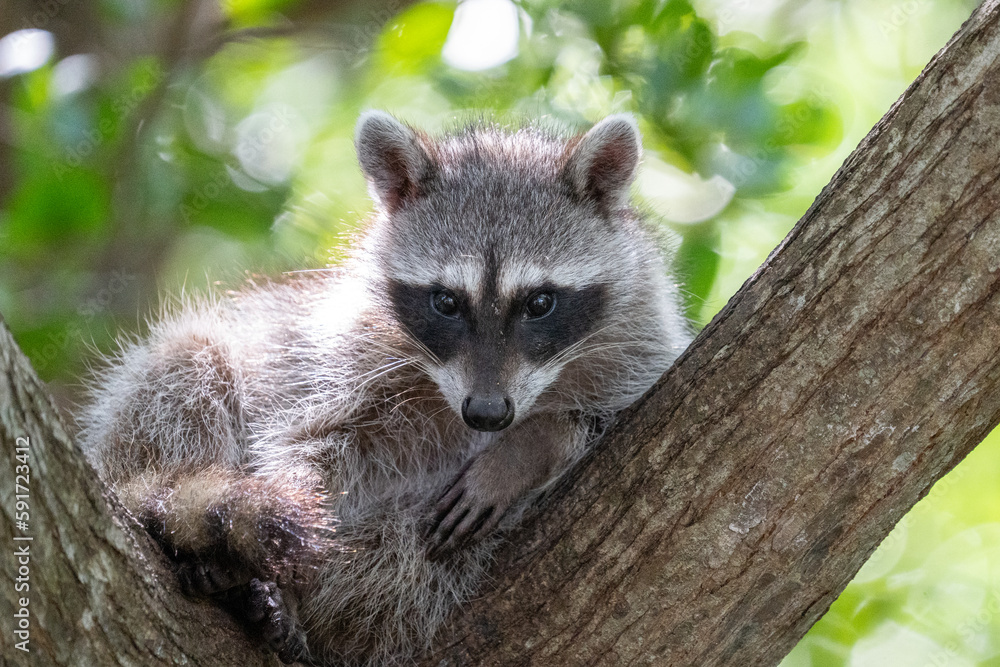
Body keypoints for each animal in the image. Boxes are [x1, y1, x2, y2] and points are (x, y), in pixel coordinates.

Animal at [76, 112, 688, 664]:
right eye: (446, 301)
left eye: (539, 302)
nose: (488, 414)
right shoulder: (340, 363)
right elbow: (307, 448)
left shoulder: (639, 338)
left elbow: (612, 407)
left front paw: (534, 445)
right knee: (190, 374)